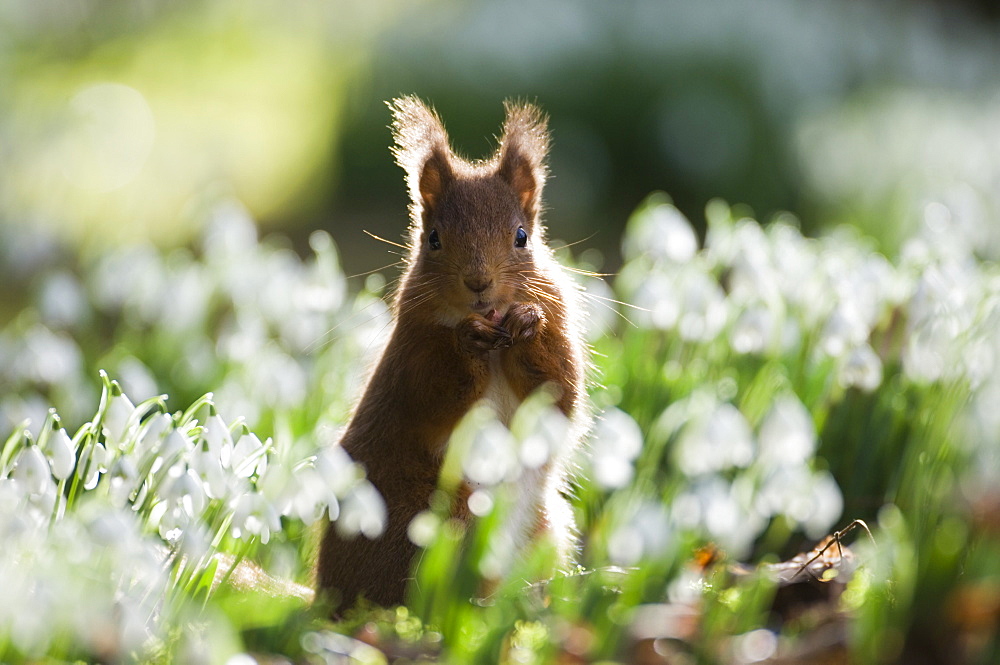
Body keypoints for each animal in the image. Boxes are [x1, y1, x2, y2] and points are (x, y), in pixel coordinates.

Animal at [318, 97, 584, 612]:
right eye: (433, 239)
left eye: (522, 237)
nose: (479, 284)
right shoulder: (411, 353)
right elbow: (431, 395)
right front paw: (467, 339)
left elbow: (559, 391)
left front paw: (529, 322)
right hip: (437, 518)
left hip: (542, 532)